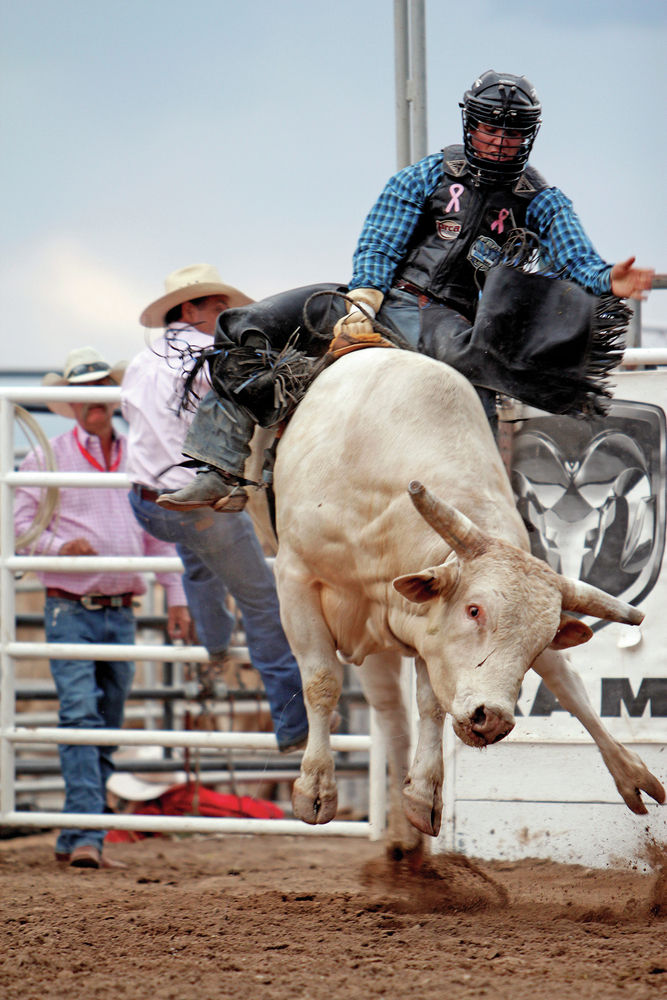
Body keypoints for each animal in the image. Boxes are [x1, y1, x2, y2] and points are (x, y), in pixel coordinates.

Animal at [272, 348, 667, 856]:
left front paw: (423, 795)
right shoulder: (295, 577)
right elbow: (321, 681)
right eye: (474, 609)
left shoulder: (423, 628)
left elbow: (432, 703)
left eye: (540, 639)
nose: (493, 719)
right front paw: (316, 789)